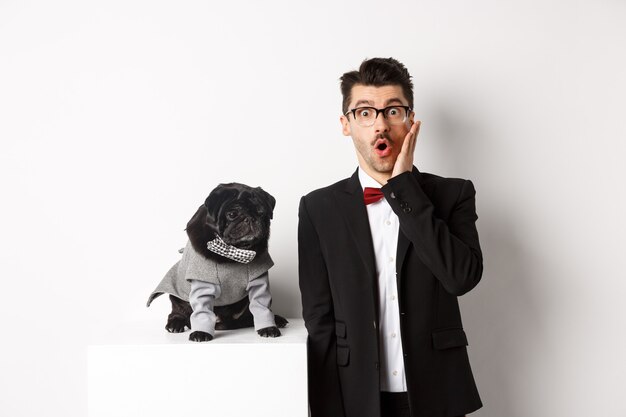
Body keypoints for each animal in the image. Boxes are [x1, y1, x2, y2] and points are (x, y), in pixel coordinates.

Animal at [149, 182, 288, 342]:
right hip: (178, 299)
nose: (250, 219)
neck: (233, 253)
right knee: (177, 312)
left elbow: (262, 305)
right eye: (232, 214)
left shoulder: (258, 281)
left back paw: (277, 319)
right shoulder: (203, 283)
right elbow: (202, 310)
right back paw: (175, 324)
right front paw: (201, 332)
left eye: (261, 213)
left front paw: (268, 327)